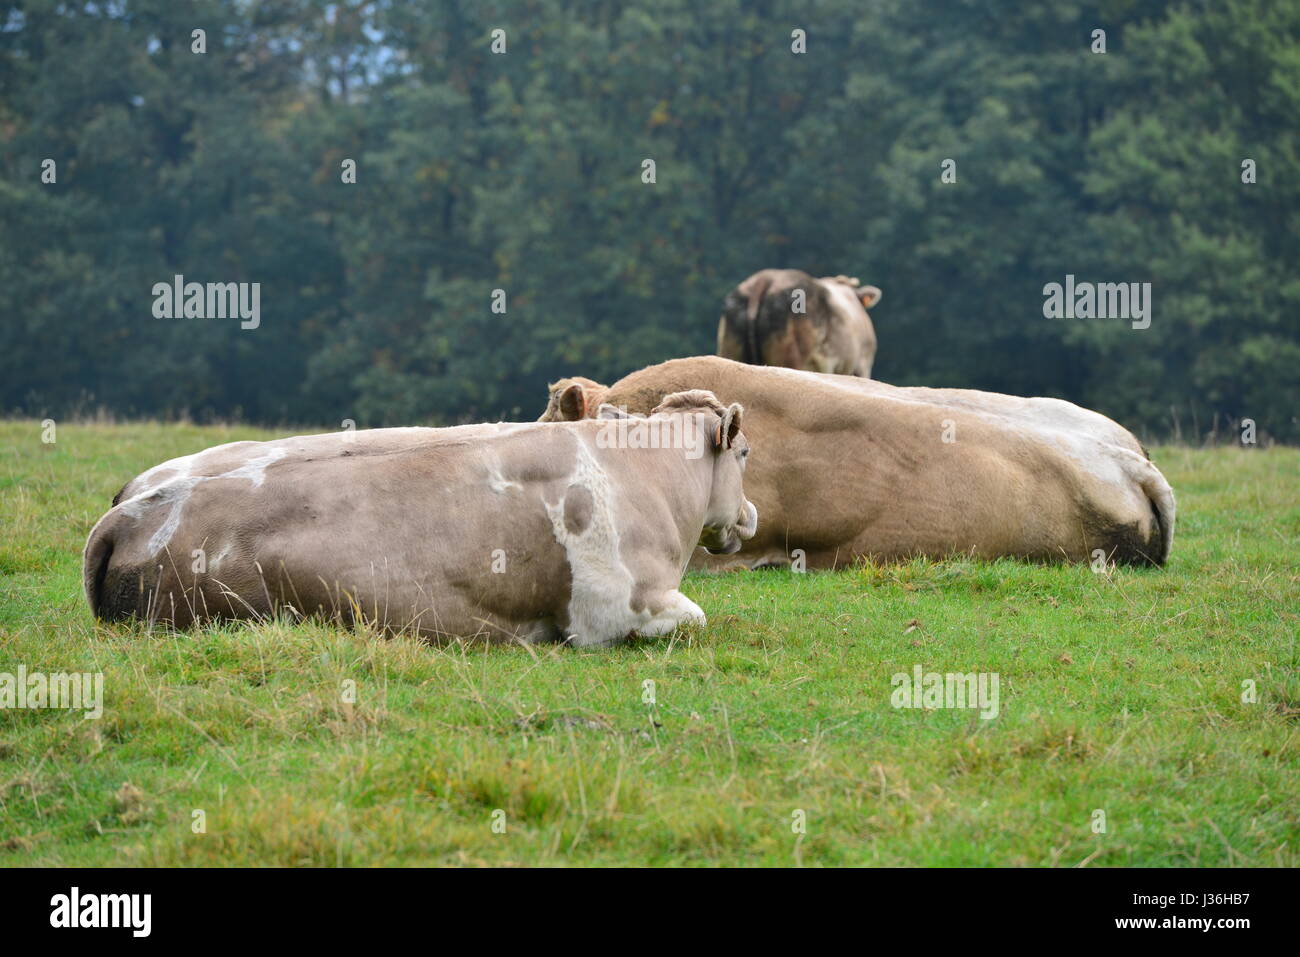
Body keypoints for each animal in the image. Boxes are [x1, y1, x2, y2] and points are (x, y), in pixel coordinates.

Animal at [83, 390, 757, 647]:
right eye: (746, 452)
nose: (750, 515)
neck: (644, 474)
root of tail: (128, 512)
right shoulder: (614, 610)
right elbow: (694, 618)